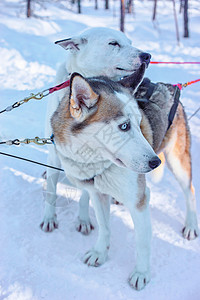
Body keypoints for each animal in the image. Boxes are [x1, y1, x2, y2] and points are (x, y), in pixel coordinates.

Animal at [40, 27, 150, 233]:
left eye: (130, 42)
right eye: (113, 43)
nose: (147, 55)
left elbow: (86, 194)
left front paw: (83, 219)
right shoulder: (54, 152)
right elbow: (51, 190)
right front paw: (49, 217)